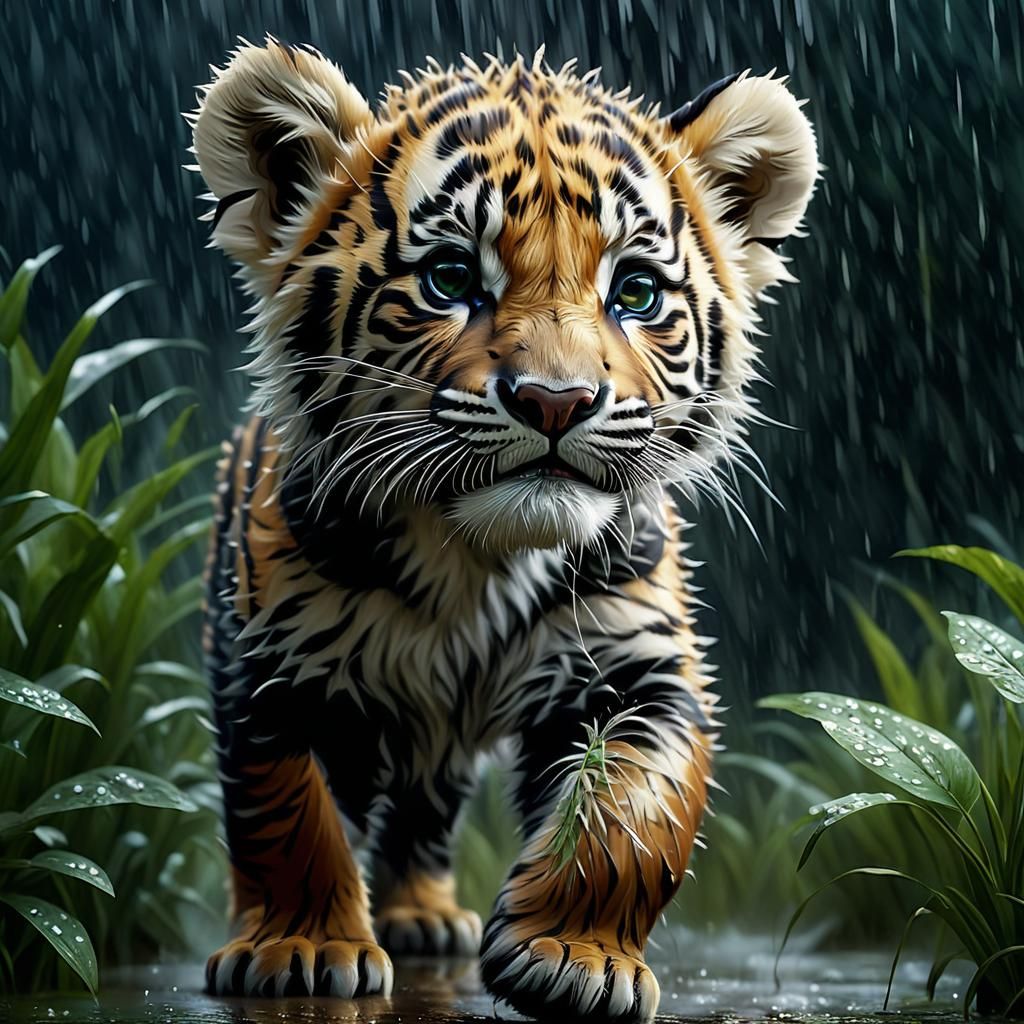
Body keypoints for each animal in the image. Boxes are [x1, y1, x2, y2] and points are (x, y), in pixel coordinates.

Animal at [188, 37, 817, 1021]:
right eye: (450, 279)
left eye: (636, 292)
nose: (556, 401)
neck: (474, 560)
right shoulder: (275, 662)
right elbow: (288, 811)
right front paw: (302, 948)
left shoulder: (637, 663)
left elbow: (635, 809)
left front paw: (573, 957)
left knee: (423, 812)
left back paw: (424, 916)